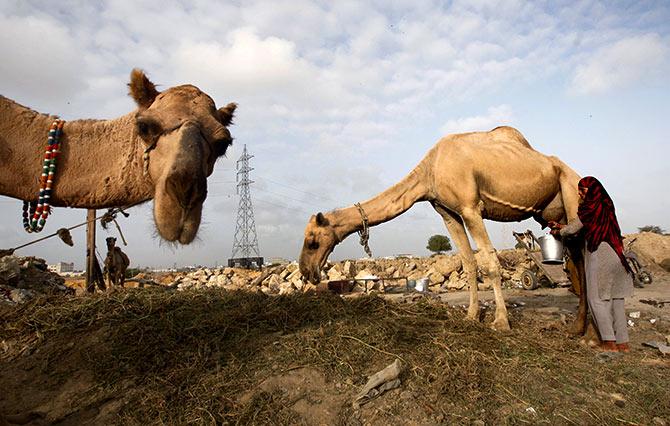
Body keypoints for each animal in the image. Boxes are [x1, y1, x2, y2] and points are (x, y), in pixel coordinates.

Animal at [300, 126, 588, 332]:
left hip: (572, 191)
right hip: (557, 213)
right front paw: (471, 316)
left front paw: (501, 323)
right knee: (575, 261)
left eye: (313, 241)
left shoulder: (470, 207)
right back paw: (578, 327)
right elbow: (469, 262)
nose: (306, 271)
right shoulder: (448, 212)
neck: (430, 171)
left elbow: (490, 261)